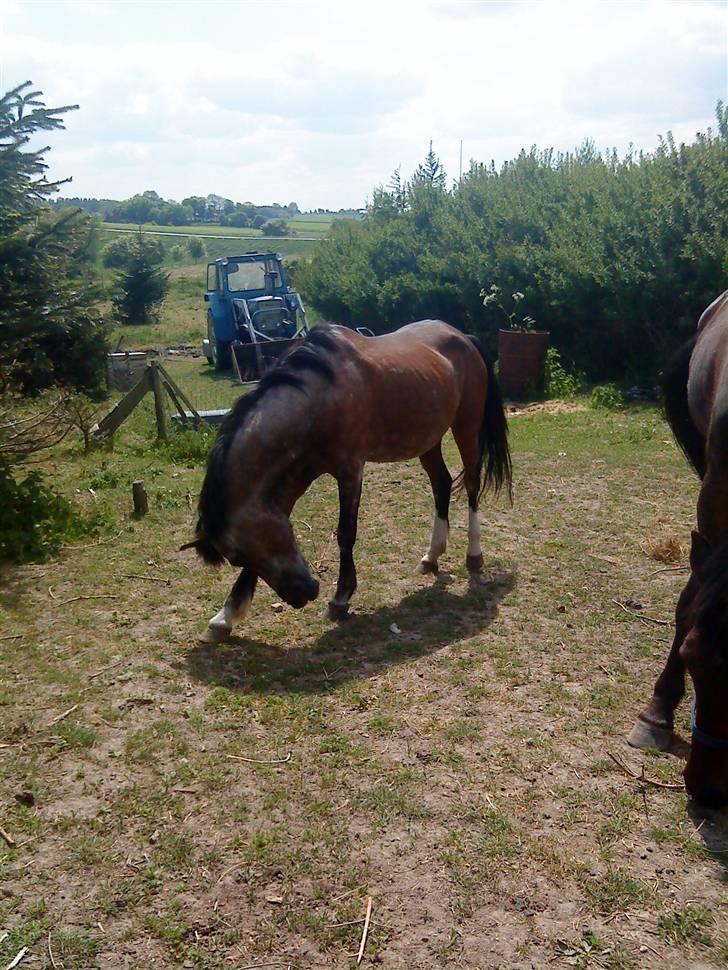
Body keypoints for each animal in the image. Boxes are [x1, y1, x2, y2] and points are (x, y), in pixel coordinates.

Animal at [185, 322, 510, 644]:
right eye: (237, 557)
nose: (303, 594)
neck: (319, 396)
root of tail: (462, 337)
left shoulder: (350, 471)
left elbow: (346, 533)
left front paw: (341, 597)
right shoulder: (290, 481)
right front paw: (224, 617)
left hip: (466, 426)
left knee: (471, 484)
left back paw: (474, 556)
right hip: (428, 439)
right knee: (441, 484)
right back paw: (431, 556)